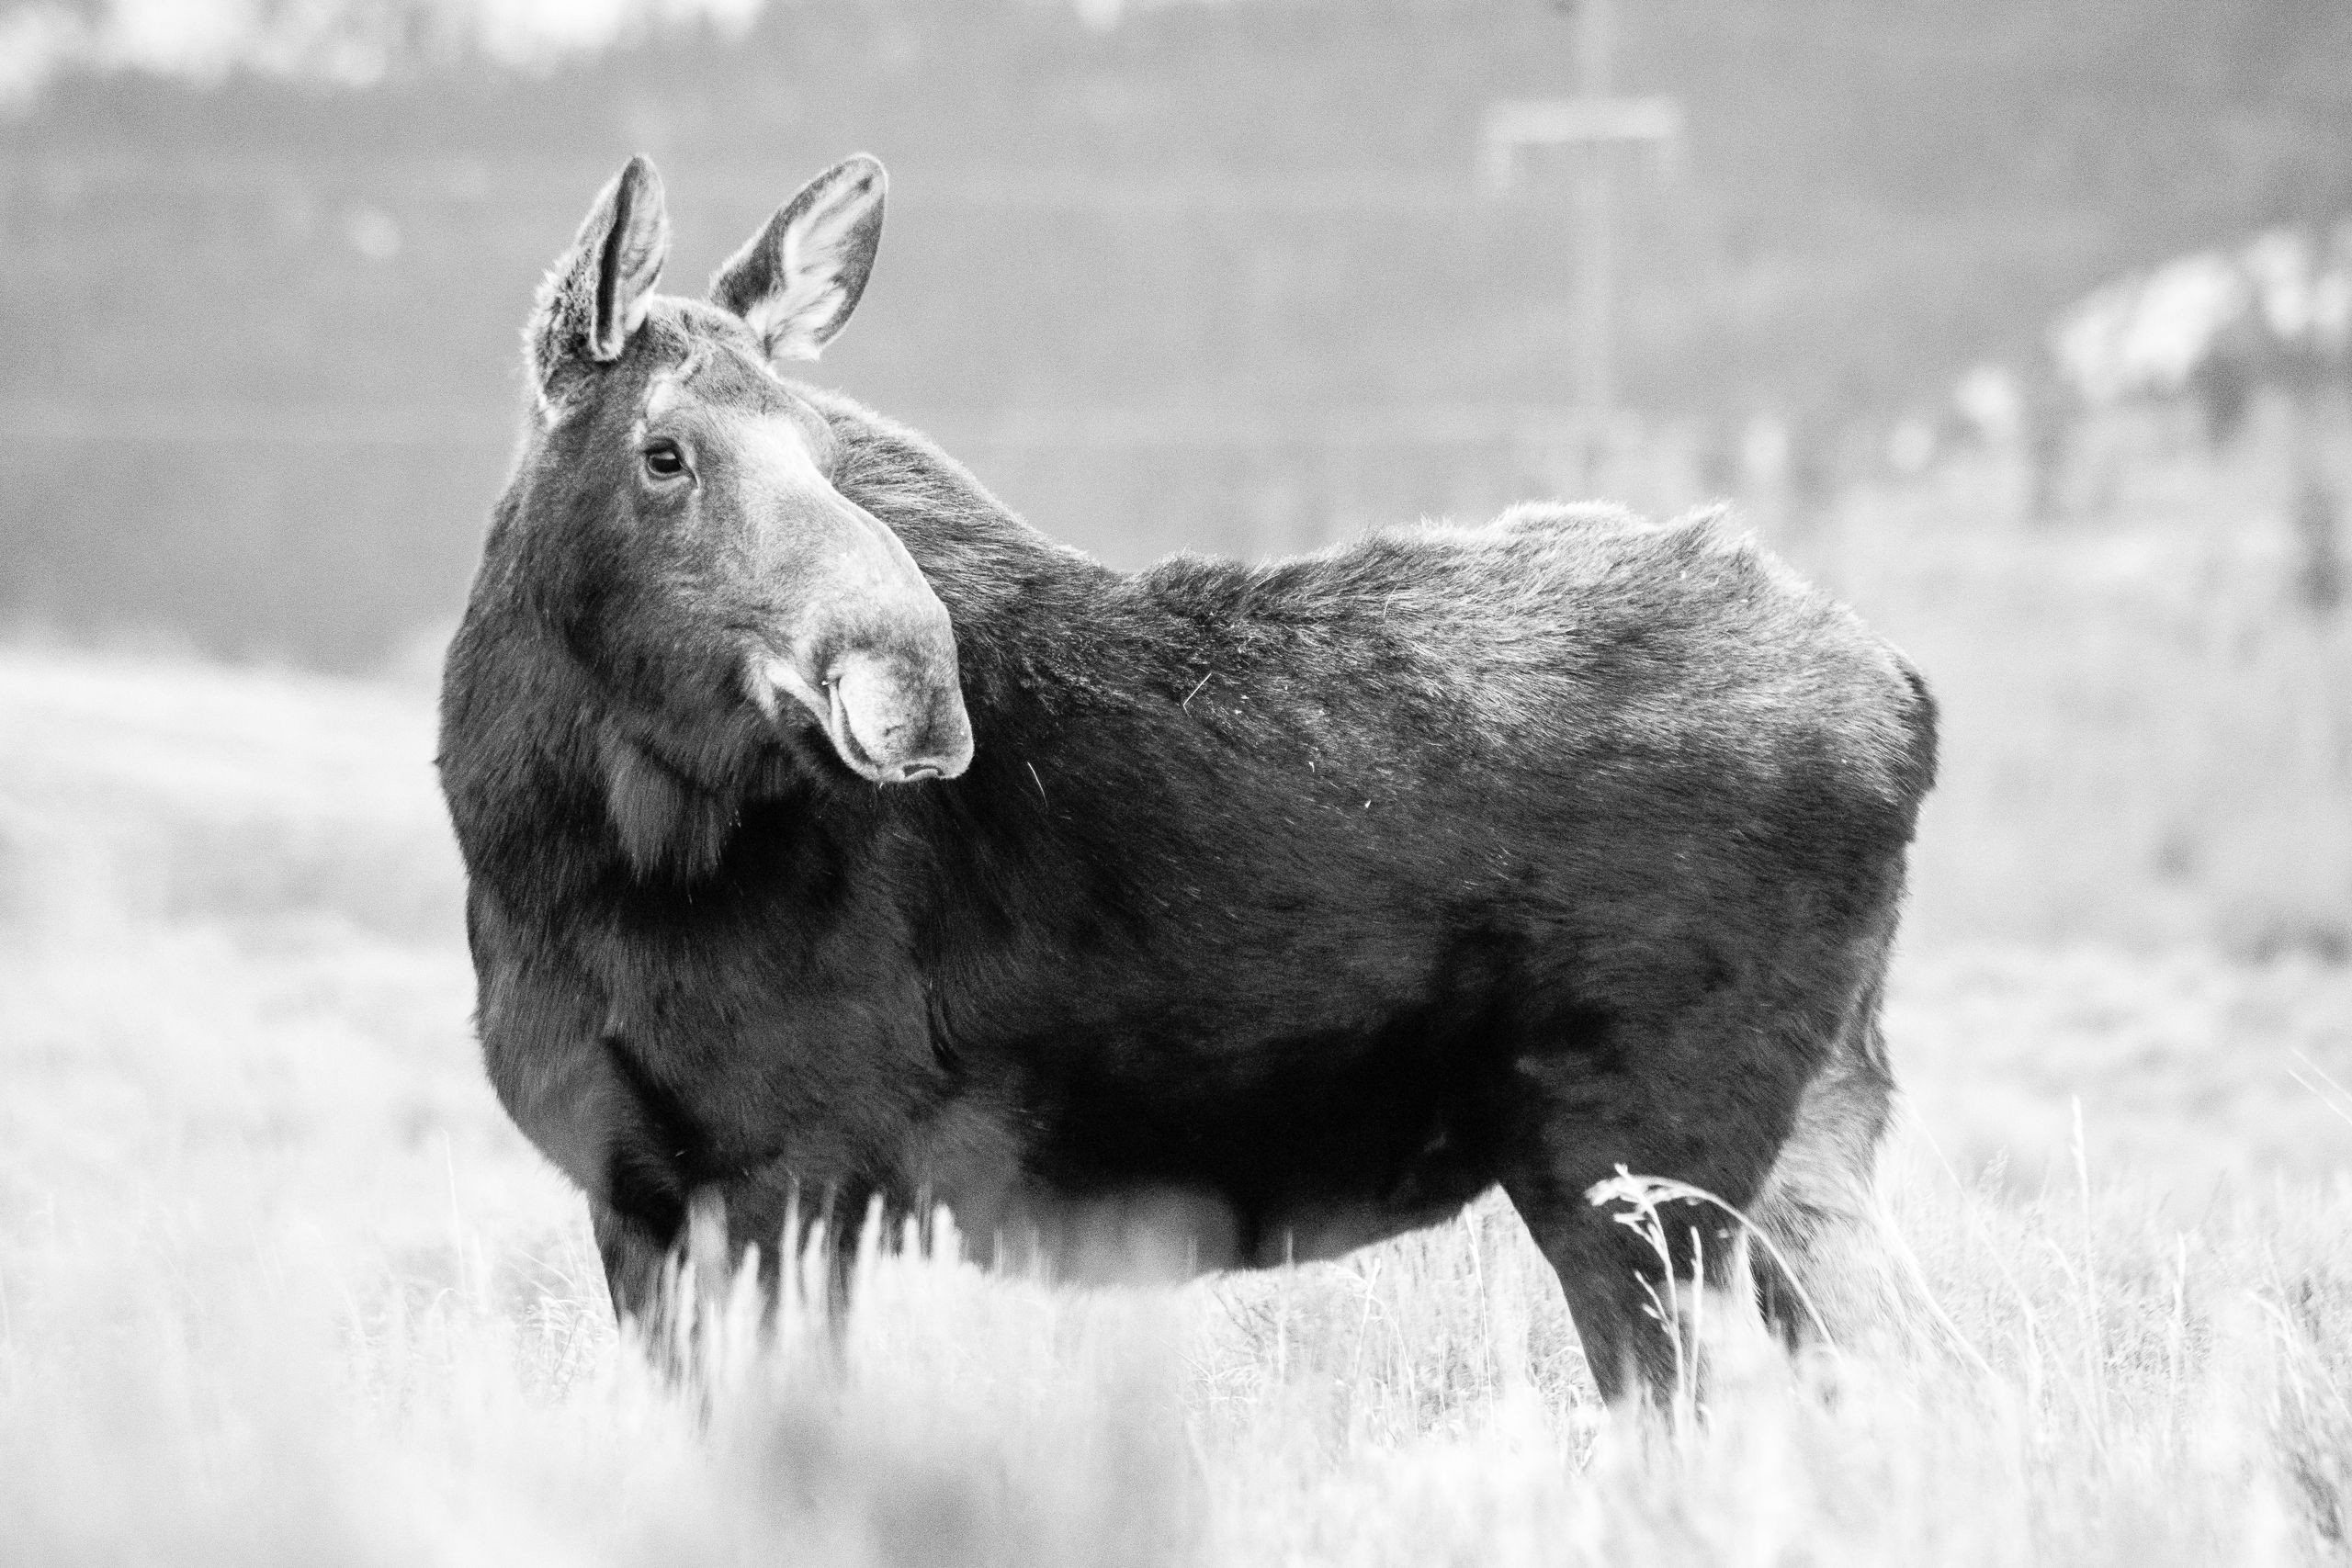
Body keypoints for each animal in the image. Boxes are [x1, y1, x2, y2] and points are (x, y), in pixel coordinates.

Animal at [437, 150, 1928, 1401]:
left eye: (828, 449)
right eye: (664, 452)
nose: (913, 683)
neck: (554, 858)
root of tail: (1907, 706)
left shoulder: (792, 1168)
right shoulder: (637, 1193)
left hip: (1631, 1155)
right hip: (1812, 1141)